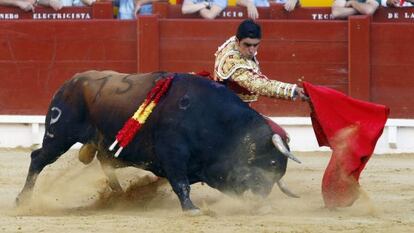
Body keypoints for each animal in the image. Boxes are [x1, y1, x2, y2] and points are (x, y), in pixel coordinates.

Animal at [17, 70, 300, 213]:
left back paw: (121, 197)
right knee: (38, 159)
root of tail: (70, 82)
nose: (260, 201)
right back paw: (23, 199)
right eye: (271, 163)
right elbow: (180, 183)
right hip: (59, 136)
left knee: (105, 162)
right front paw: (191, 209)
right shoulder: (172, 154)